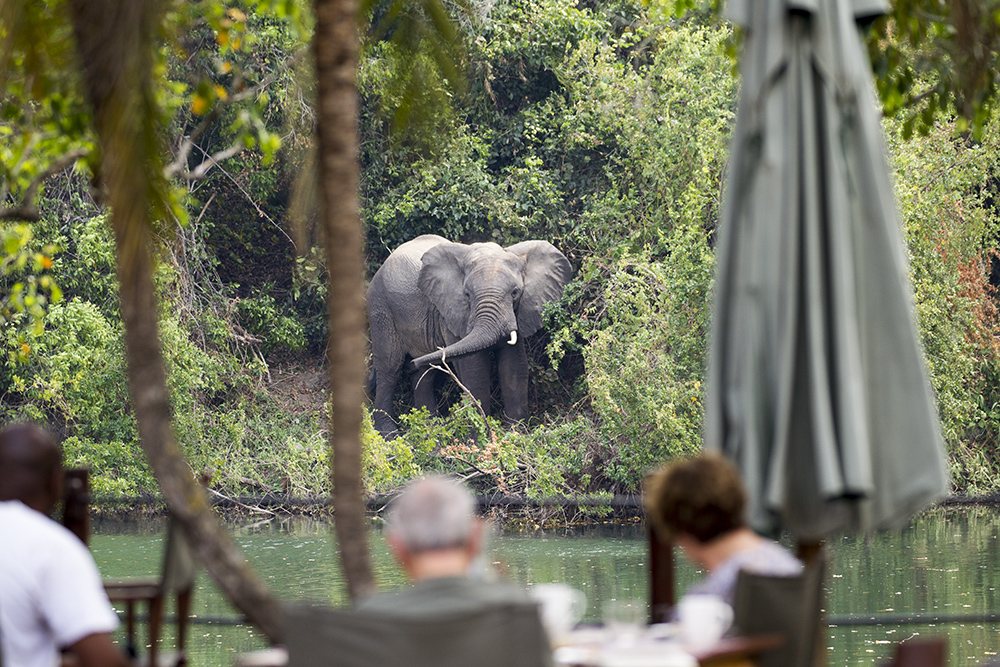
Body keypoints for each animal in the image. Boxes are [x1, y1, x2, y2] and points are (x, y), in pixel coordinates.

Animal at [368, 235, 576, 438]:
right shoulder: (453, 313)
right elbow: (474, 369)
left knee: (424, 374)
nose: (413, 361)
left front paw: (517, 435)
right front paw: (481, 439)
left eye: (515, 292)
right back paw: (389, 435)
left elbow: (514, 366)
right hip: (381, 308)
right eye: (467, 294)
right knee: (390, 368)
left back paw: (430, 430)